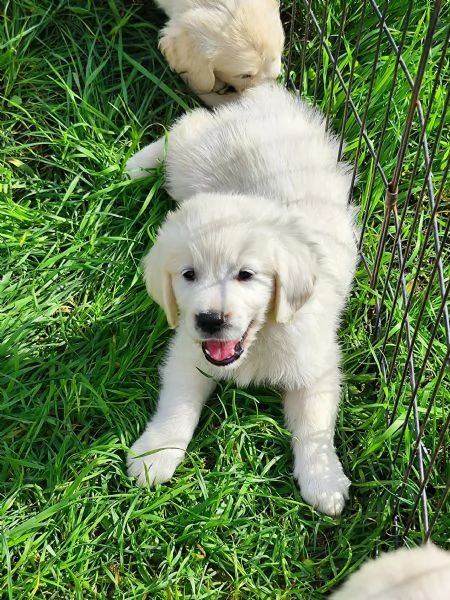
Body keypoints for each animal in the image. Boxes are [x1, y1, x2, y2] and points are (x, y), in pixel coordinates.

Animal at [125, 82, 358, 516]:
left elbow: (315, 424)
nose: (210, 321)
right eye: (188, 275)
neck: (260, 341)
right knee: (187, 124)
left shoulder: (316, 365)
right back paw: (138, 164)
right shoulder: (187, 353)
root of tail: (263, 93)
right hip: (190, 168)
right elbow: (176, 405)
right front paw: (155, 455)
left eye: (246, 275)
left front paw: (324, 481)